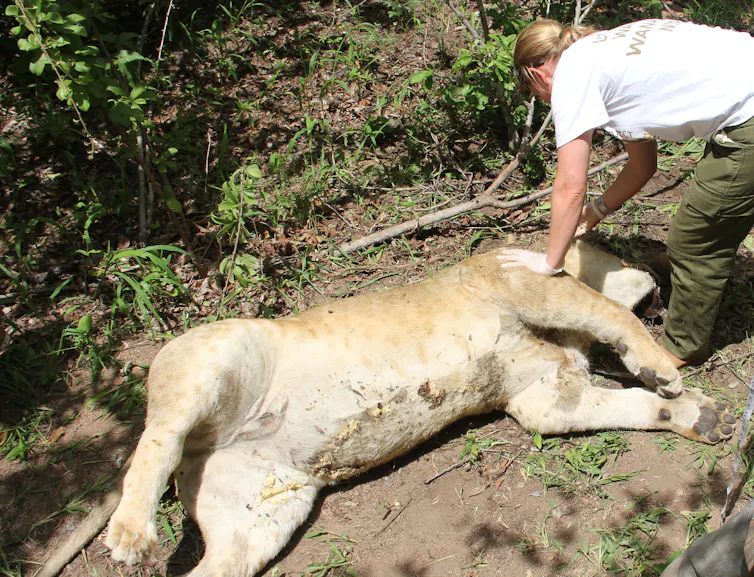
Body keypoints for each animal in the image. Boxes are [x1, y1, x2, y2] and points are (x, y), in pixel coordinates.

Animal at [38, 241, 735, 577]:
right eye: (617, 253)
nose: (653, 267)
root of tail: (211, 444)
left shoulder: (543, 397)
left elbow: (629, 406)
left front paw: (702, 419)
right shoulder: (523, 284)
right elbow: (616, 317)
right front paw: (664, 366)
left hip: (261, 512)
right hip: (219, 352)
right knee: (154, 438)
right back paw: (130, 536)